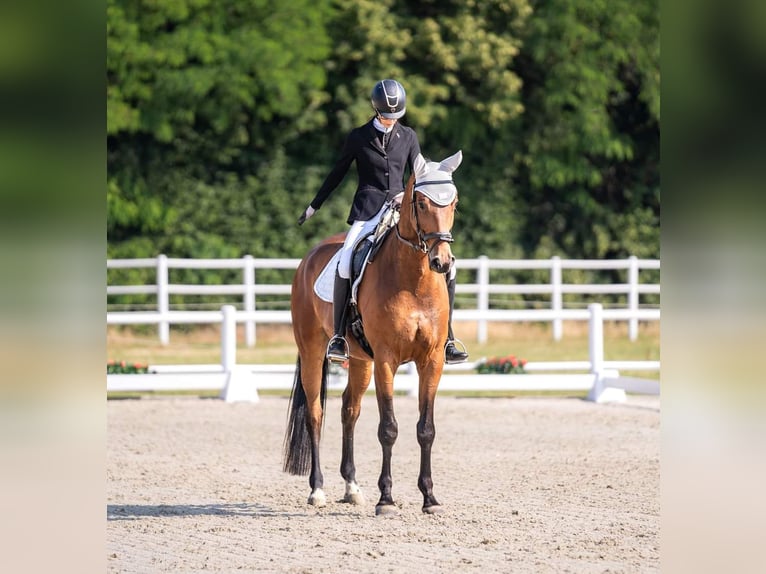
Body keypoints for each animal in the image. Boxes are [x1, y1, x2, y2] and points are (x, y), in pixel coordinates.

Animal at [282, 150, 462, 516]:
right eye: (421, 203)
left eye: (454, 203)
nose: (442, 262)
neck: (414, 279)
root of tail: (309, 256)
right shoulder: (386, 361)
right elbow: (389, 428)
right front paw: (387, 500)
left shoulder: (431, 361)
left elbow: (426, 429)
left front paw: (430, 498)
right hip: (313, 351)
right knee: (315, 414)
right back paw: (317, 490)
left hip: (360, 361)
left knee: (349, 410)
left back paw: (351, 488)